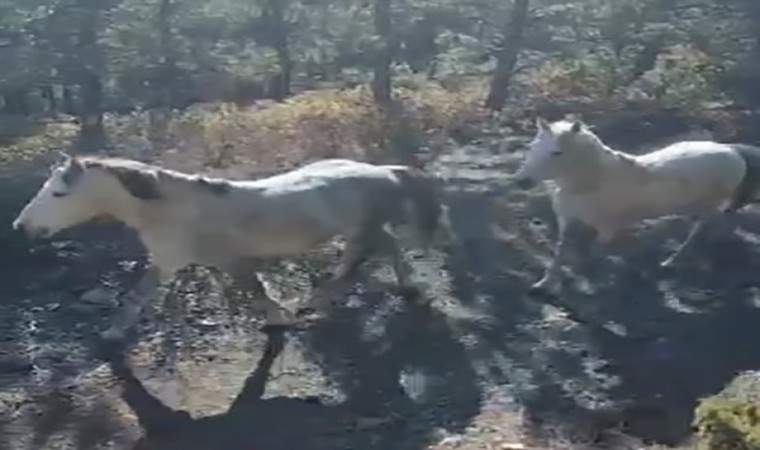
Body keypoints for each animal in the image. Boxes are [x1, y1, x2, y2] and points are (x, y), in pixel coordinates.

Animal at [11, 155, 442, 342]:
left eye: (59, 192)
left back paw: (314, 303)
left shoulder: (227, 260)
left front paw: (278, 320)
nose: (21, 227)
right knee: (385, 249)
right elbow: (136, 297)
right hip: (362, 229)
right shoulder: (166, 261)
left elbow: (255, 289)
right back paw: (409, 289)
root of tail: (383, 170)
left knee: (360, 261)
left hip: (363, 229)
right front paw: (112, 333)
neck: (171, 209)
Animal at [512, 116, 760, 294]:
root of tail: (734, 151)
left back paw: (672, 261)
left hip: (708, 206)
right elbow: (559, 253)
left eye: (557, 152)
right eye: (532, 147)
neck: (592, 182)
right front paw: (543, 285)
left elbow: (592, 254)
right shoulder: (568, 222)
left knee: (701, 229)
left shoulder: (607, 230)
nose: (521, 181)